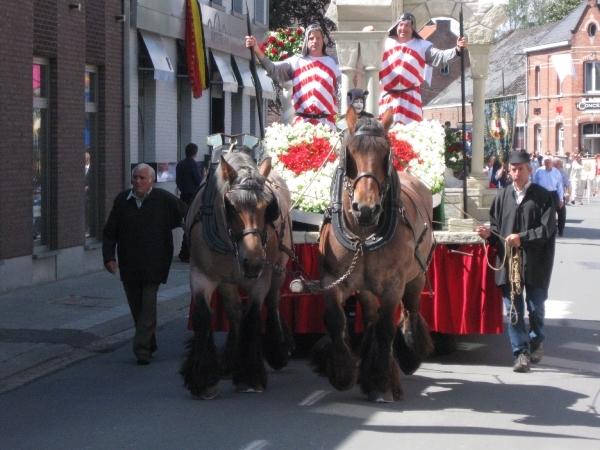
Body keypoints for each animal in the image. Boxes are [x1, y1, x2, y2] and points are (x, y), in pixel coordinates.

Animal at [180, 148, 296, 398]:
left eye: (267, 207)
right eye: (231, 206)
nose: (252, 261)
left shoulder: (261, 280)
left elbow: (253, 317)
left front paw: (250, 376)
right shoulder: (201, 276)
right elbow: (204, 316)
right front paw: (203, 379)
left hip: (279, 268)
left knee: (273, 302)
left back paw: (278, 350)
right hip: (228, 281)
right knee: (233, 311)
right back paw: (231, 357)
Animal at [312, 107, 434, 402]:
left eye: (386, 152)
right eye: (350, 152)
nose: (365, 208)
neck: (363, 235)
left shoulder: (394, 284)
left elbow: (386, 328)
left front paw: (381, 382)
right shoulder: (332, 279)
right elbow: (336, 320)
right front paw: (343, 374)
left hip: (416, 276)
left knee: (410, 309)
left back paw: (410, 353)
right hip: (365, 287)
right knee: (369, 318)